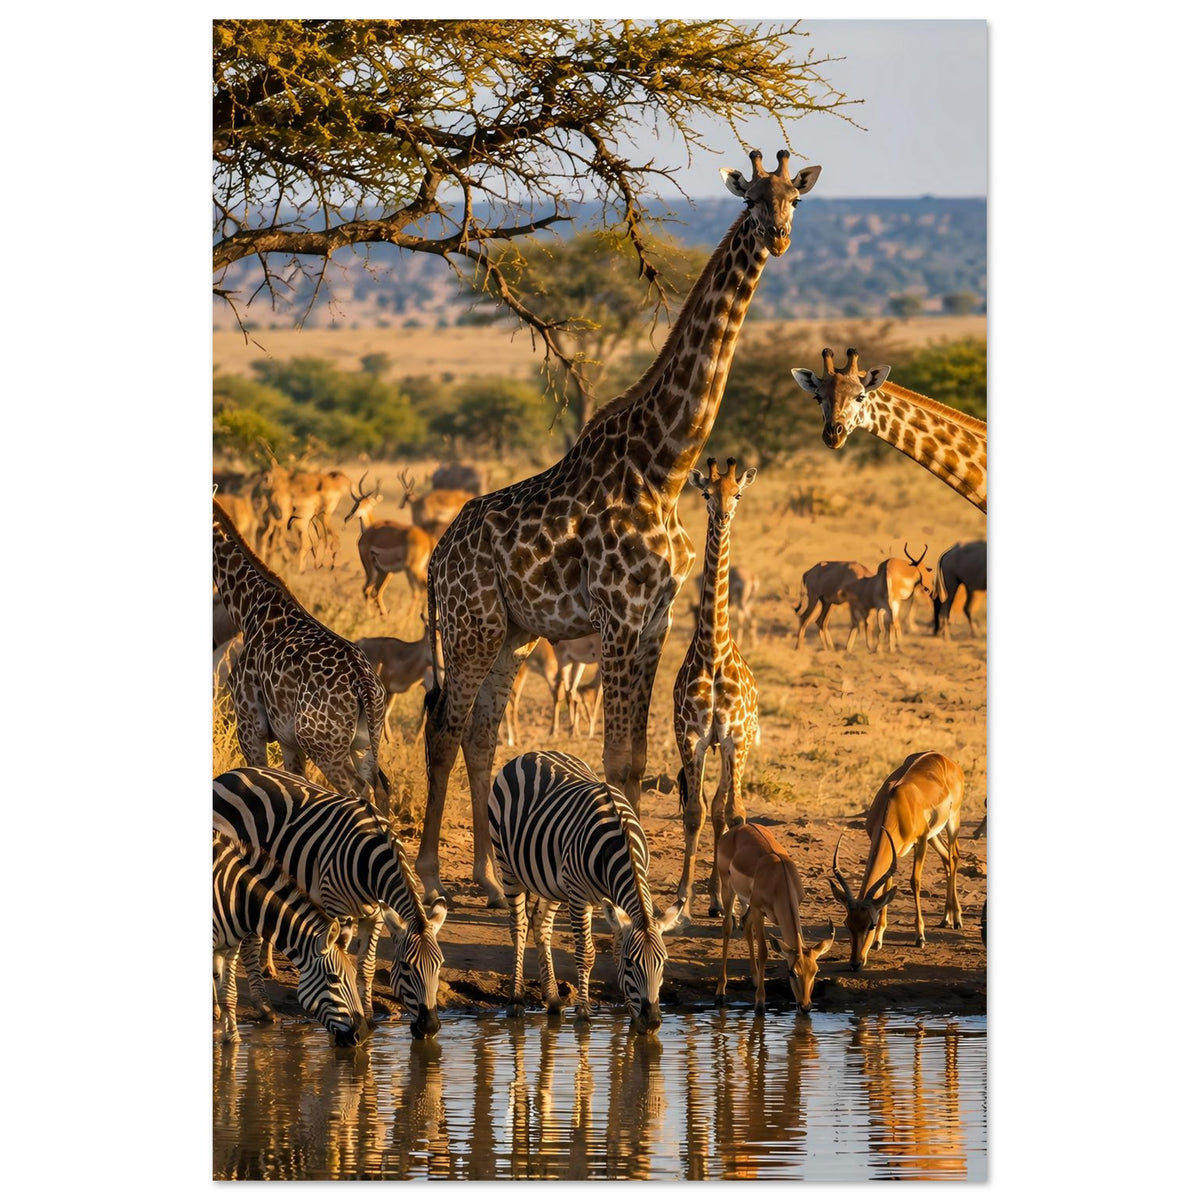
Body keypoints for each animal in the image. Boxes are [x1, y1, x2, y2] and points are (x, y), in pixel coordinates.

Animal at [212, 499, 390, 806]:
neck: (247, 607)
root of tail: (365, 686)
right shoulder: (288, 741)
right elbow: (297, 784)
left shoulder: (249, 723)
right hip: (363, 743)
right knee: (381, 788)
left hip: (325, 748)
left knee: (359, 790)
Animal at [212, 833, 367, 1046]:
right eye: (333, 979)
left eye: (354, 975)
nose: (359, 1037)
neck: (238, 897)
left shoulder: (230, 948)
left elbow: (229, 995)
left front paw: (233, 1040)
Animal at [418, 148, 821, 904]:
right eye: (751, 198)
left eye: (795, 199)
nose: (779, 237)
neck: (665, 464)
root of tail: (434, 560)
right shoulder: (619, 615)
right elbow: (612, 759)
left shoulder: (655, 617)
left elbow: (633, 760)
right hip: (470, 624)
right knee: (444, 730)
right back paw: (429, 875)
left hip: (513, 632)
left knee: (481, 733)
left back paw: (490, 879)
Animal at [488, 750, 684, 1034]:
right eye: (631, 963)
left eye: (664, 962)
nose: (652, 1023)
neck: (620, 843)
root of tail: (531, 754)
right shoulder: (580, 896)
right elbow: (587, 953)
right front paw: (583, 1013)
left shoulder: (613, 901)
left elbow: (615, 949)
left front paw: (630, 1015)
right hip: (508, 865)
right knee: (519, 926)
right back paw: (516, 1001)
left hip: (553, 882)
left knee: (541, 923)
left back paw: (554, 999)